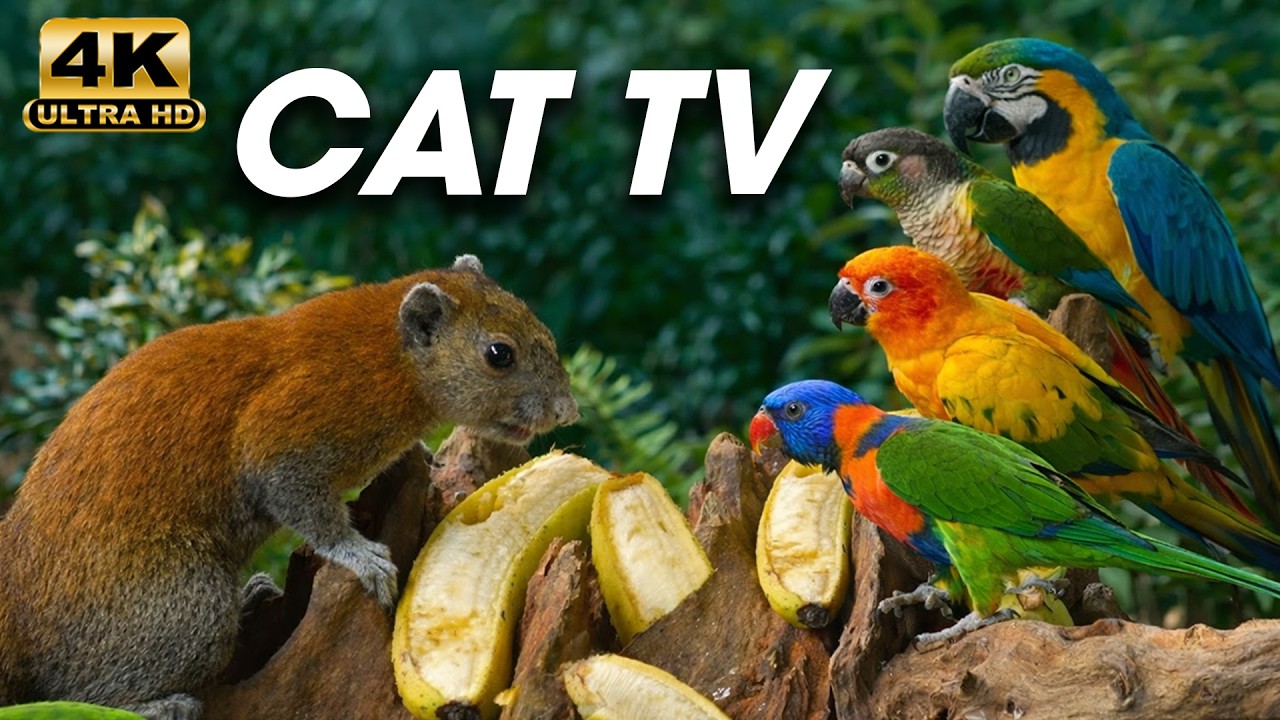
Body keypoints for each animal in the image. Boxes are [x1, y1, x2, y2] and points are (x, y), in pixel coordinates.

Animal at [0, 254, 578, 719]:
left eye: (543, 331)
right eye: (499, 354)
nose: (568, 411)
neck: (386, 355)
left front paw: (421, 453)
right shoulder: (283, 442)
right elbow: (315, 515)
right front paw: (362, 557)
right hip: (190, 606)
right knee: (81, 692)